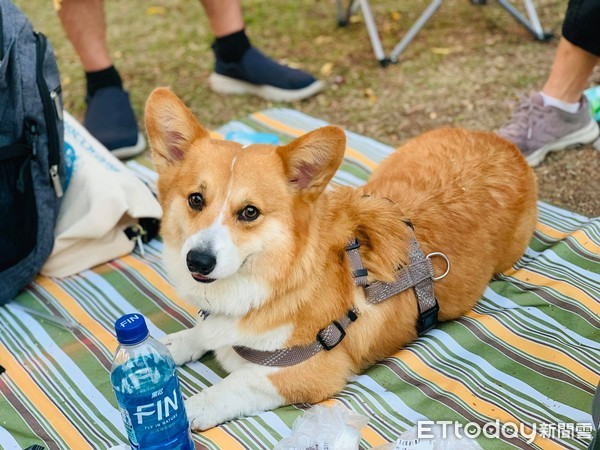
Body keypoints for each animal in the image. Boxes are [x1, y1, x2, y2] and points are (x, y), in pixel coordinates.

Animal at [143, 87, 536, 428]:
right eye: (196, 200)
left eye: (250, 212)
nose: (198, 261)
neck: (275, 279)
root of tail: (502, 144)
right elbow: (199, 335)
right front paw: (170, 345)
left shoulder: (305, 373)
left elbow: (234, 384)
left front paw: (187, 409)